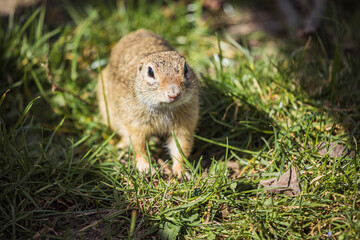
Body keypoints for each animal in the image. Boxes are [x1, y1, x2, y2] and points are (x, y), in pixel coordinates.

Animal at [97, 29, 200, 177]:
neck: (164, 107)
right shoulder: (136, 126)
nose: (173, 93)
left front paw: (181, 172)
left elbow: (180, 149)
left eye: (186, 68)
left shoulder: (184, 126)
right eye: (150, 72)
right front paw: (146, 168)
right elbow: (139, 147)